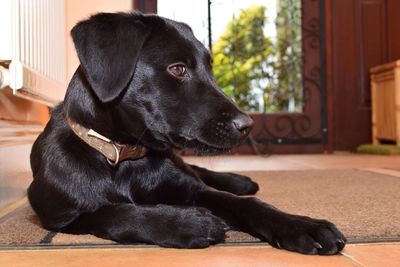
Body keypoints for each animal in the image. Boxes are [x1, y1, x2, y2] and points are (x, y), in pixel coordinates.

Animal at [28, 12, 346, 255]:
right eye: (178, 69)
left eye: (210, 69)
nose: (247, 125)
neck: (124, 155)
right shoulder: (60, 214)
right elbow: (113, 212)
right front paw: (187, 224)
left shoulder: (193, 189)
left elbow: (245, 204)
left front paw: (302, 225)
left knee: (200, 170)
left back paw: (239, 181)